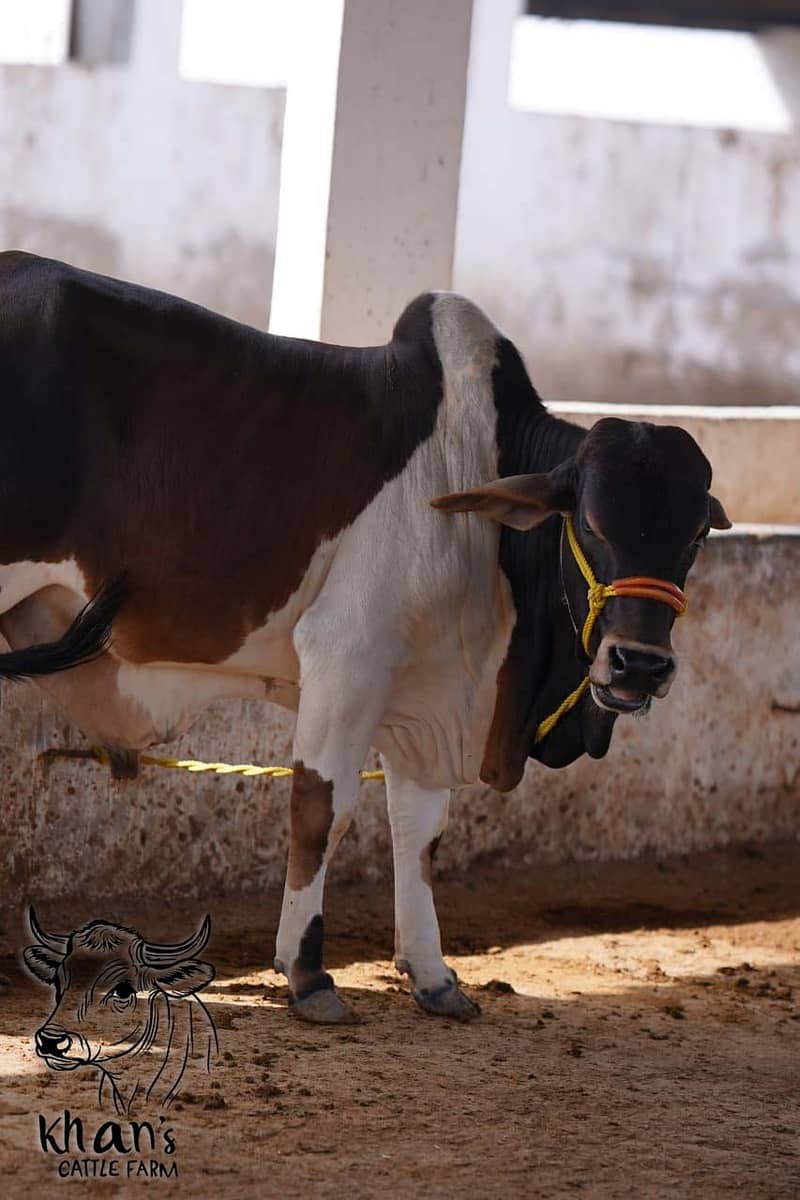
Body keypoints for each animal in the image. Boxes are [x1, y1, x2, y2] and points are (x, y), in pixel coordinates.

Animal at [0, 252, 729, 1024]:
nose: (639, 665)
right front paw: (307, 974)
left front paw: (432, 975)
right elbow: (322, 808)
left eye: (696, 535)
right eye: (590, 521)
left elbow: (419, 829)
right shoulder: (348, 657)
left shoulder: (428, 688)